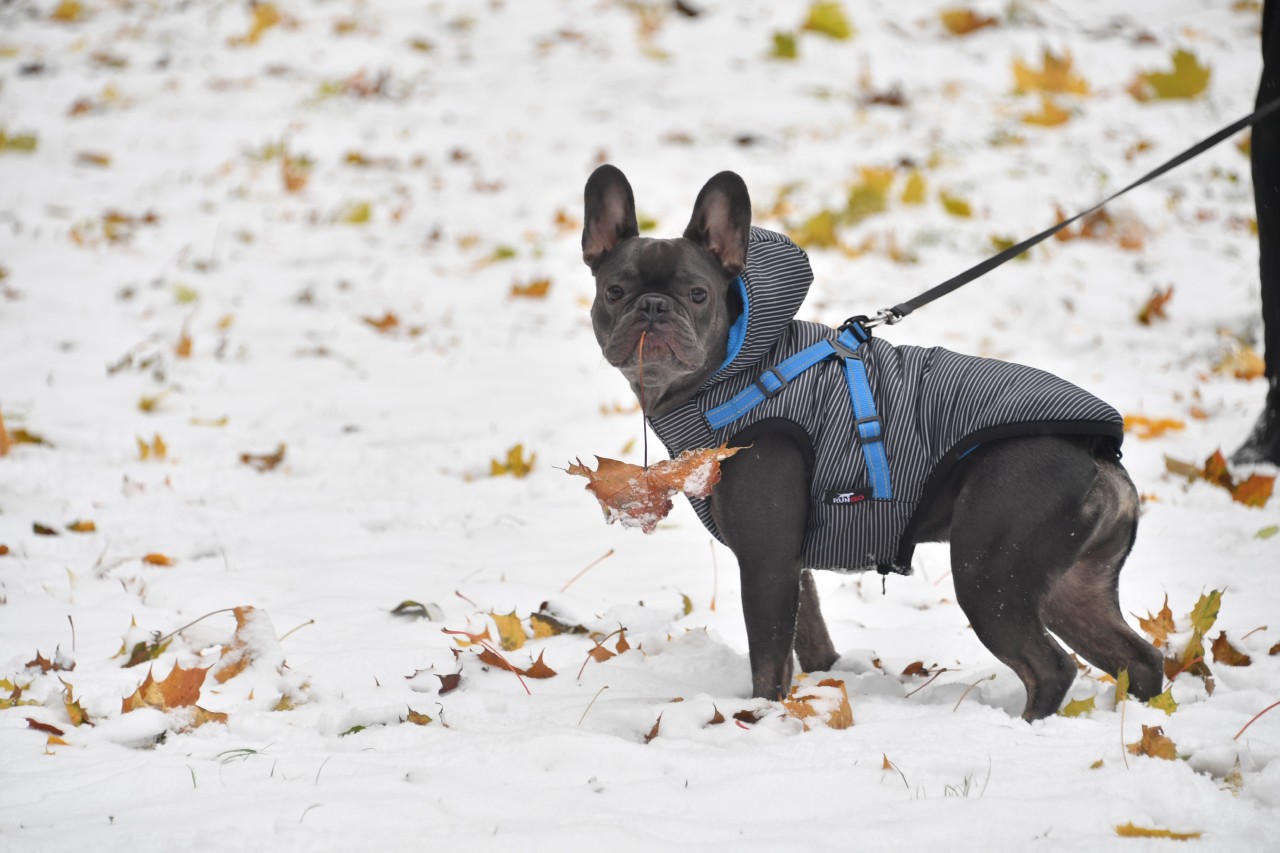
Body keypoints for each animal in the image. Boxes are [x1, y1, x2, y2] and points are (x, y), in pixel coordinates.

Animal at [586, 163, 1167, 717]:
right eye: (614, 292)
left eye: (697, 294)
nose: (653, 306)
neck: (737, 369)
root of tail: (1097, 458)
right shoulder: (791, 565)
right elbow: (810, 638)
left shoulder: (765, 562)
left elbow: (769, 661)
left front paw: (761, 716)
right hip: (1072, 588)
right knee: (1138, 658)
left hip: (988, 574)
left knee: (1050, 668)